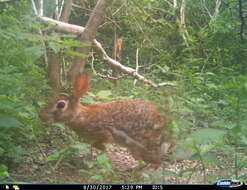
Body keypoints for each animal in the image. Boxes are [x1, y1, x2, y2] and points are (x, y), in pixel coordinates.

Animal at [39, 72, 174, 166]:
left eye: (61, 105)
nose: (41, 115)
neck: (80, 116)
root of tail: (167, 127)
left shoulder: (103, 133)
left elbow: (98, 144)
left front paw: (101, 152)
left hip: (140, 146)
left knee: (157, 163)